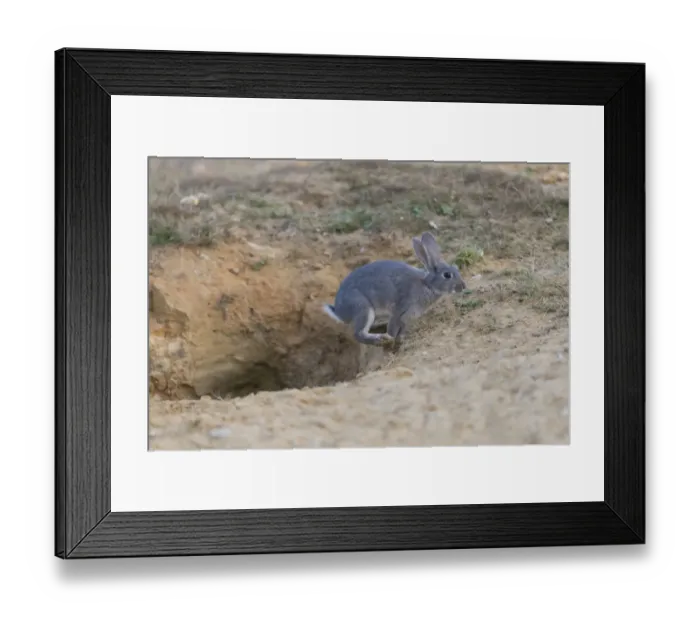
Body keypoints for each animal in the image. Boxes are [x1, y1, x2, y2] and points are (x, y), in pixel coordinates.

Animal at [322, 231, 468, 346]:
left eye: (456, 268)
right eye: (447, 275)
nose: (463, 286)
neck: (427, 284)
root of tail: (339, 312)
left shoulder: (407, 318)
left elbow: (402, 330)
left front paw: (401, 339)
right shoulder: (400, 310)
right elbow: (392, 328)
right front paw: (392, 342)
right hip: (362, 308)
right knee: (359, 334)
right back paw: (381, 339)